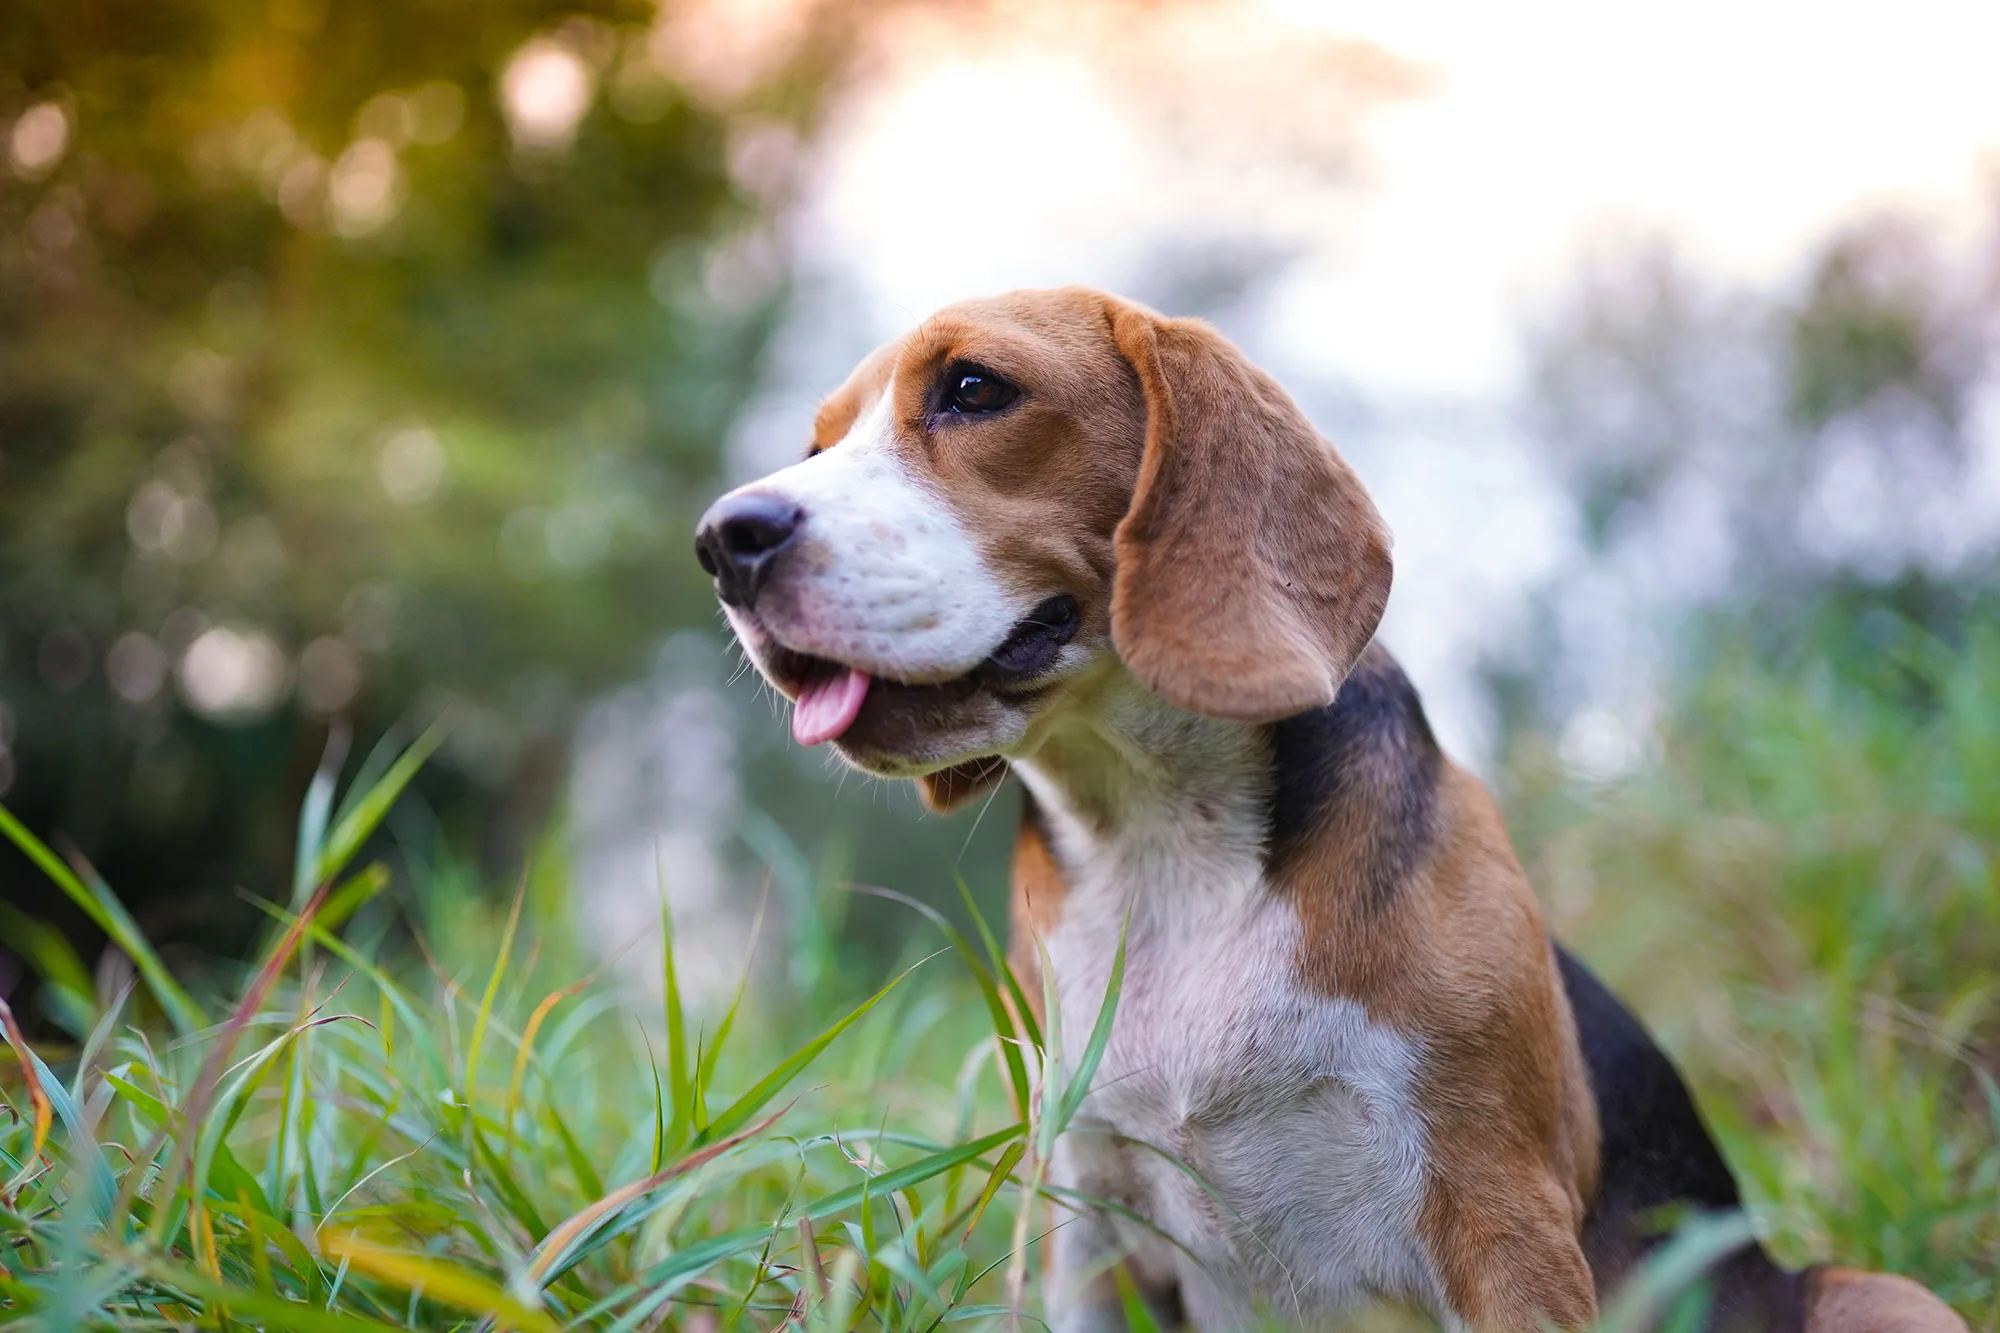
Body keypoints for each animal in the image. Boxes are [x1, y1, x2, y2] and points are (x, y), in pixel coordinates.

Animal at [696, 286, 1960, 1320]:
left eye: (972, 389)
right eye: (816, 444)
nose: (724, 539)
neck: (1162, 848)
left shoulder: (1501, 1226)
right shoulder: (1085, 1235)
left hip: (1875, 1294)